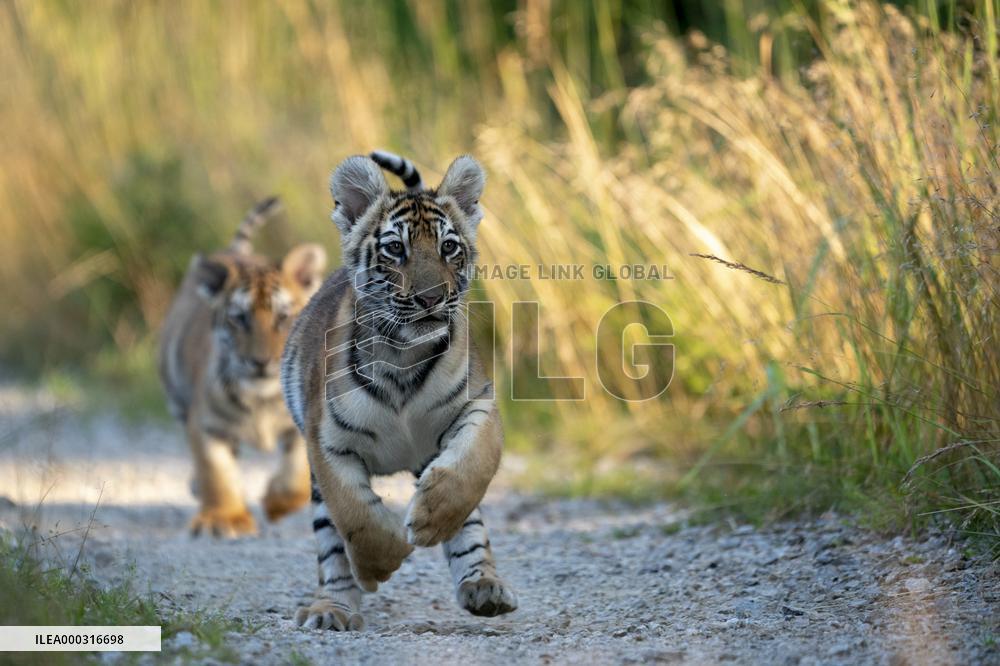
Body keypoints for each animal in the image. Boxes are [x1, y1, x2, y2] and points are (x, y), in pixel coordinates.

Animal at [158, 196, 327, 537]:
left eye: (283, 317)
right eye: (239, 318)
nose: (260, 362)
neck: (262, 399)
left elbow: (296, 472)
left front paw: (277, 504)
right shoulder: (206, 424)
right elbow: (215, 472)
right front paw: (223, 519)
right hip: (177, 398)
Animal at [280, 151, 517, 630]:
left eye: (449, 247)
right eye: (395, 249)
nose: (432, 298)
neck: (404, 357)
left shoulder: (476, 405)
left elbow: (473, 467)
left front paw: (429, 521)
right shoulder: (326, 442)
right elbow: (352, 512)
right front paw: (381, 563)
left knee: (470, 525)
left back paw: (483, 586)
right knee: (330, 544)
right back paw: (331, 609)